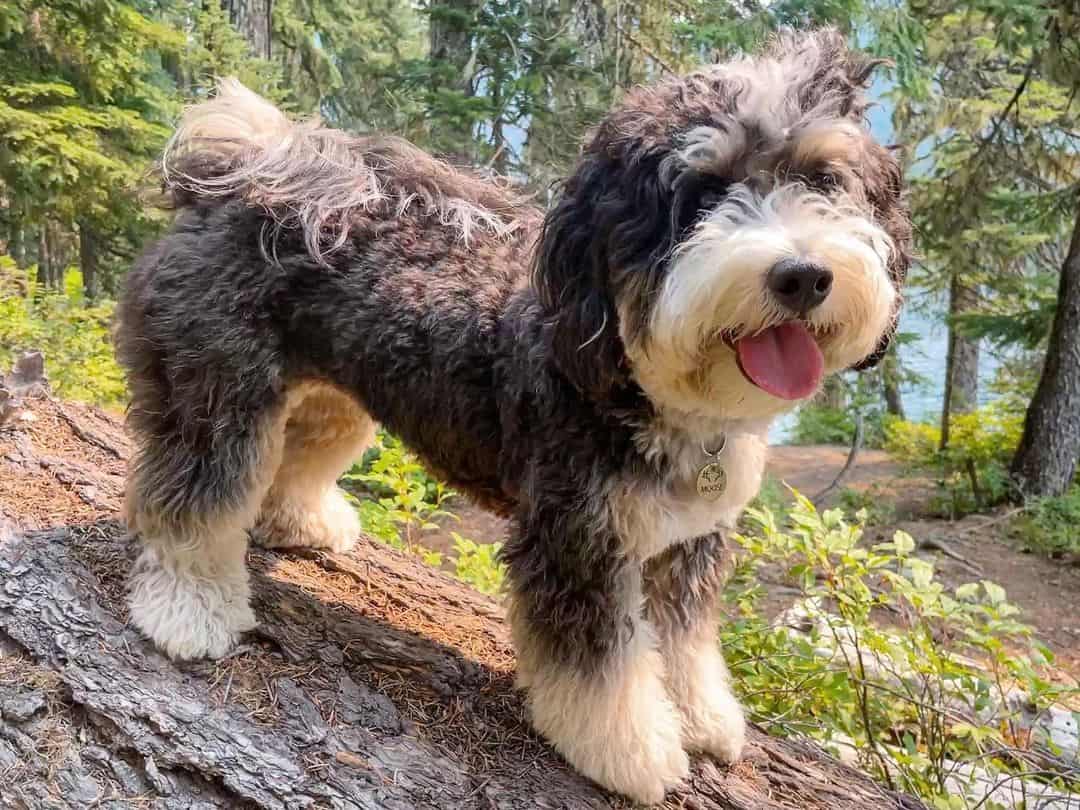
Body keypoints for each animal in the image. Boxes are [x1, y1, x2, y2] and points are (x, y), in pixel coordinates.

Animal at [118, 28, 911, 807]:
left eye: (824, 180)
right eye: (702, 192)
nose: (802, 276)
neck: (631, 377)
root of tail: (242, 167)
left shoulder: (689, 540)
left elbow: (685, 640)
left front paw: (700, 715)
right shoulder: (578, 537)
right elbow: (601, 666)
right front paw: (631, 751)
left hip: (336, 397)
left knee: (301, 453)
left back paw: (302, 521)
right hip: (215, 388)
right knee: (195, 497)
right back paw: (188, 609)